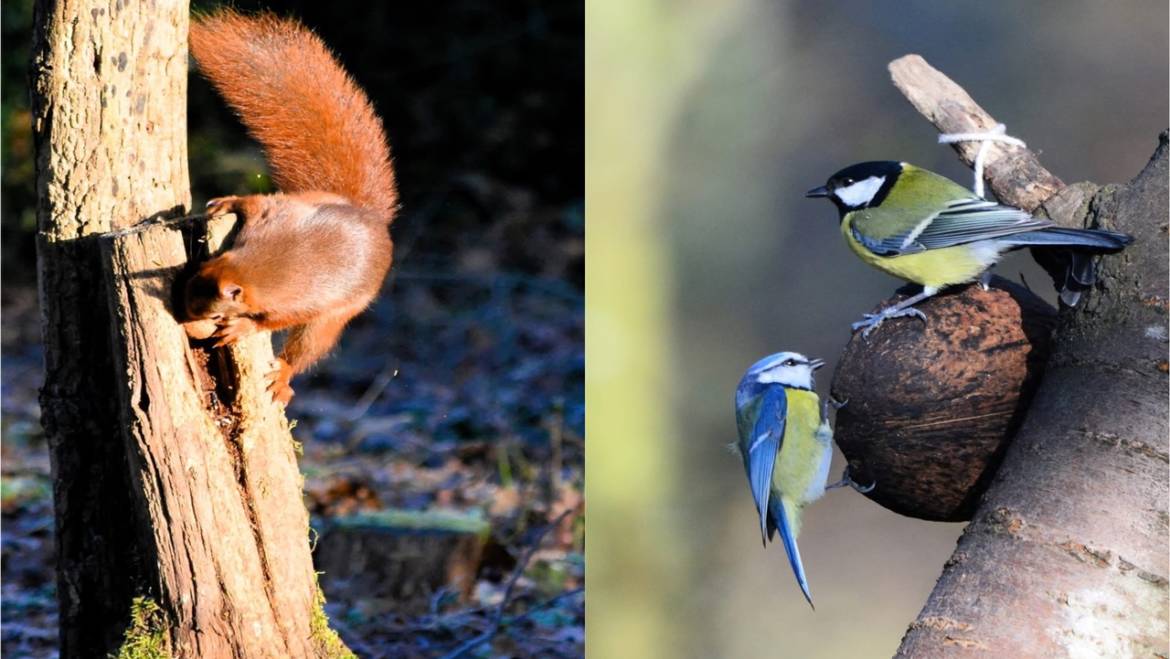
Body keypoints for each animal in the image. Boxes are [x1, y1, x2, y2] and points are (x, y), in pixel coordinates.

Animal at [184, 11, 395, 402]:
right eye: (195, 275)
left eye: (213, 311)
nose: (183, 311)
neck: (258, 265)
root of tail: (370, 215)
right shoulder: (272, 218)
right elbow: (254, 203)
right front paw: (226, 202)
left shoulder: (303, 301)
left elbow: (274, 319)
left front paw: (242, 328)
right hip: (308, 200)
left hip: (339, 313)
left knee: (308, 347)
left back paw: (282, 375)